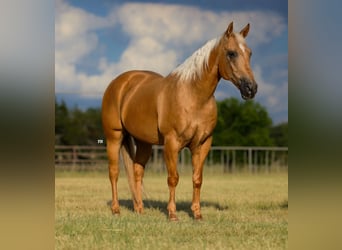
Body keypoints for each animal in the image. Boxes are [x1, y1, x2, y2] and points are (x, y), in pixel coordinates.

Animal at [101, 22, 256, 221]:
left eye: (249, 53)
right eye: (231, 53)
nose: (251, 88)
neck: (193, 95)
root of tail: (119, 82)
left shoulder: (202, 144)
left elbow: (197, 179)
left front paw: (197, 214)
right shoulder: (172, 143)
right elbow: (173, 178)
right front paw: (173, 214)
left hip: (144, 143)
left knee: (137, 171)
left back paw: (139, 209)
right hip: (114, 137)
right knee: (114, 172)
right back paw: (116, 209)